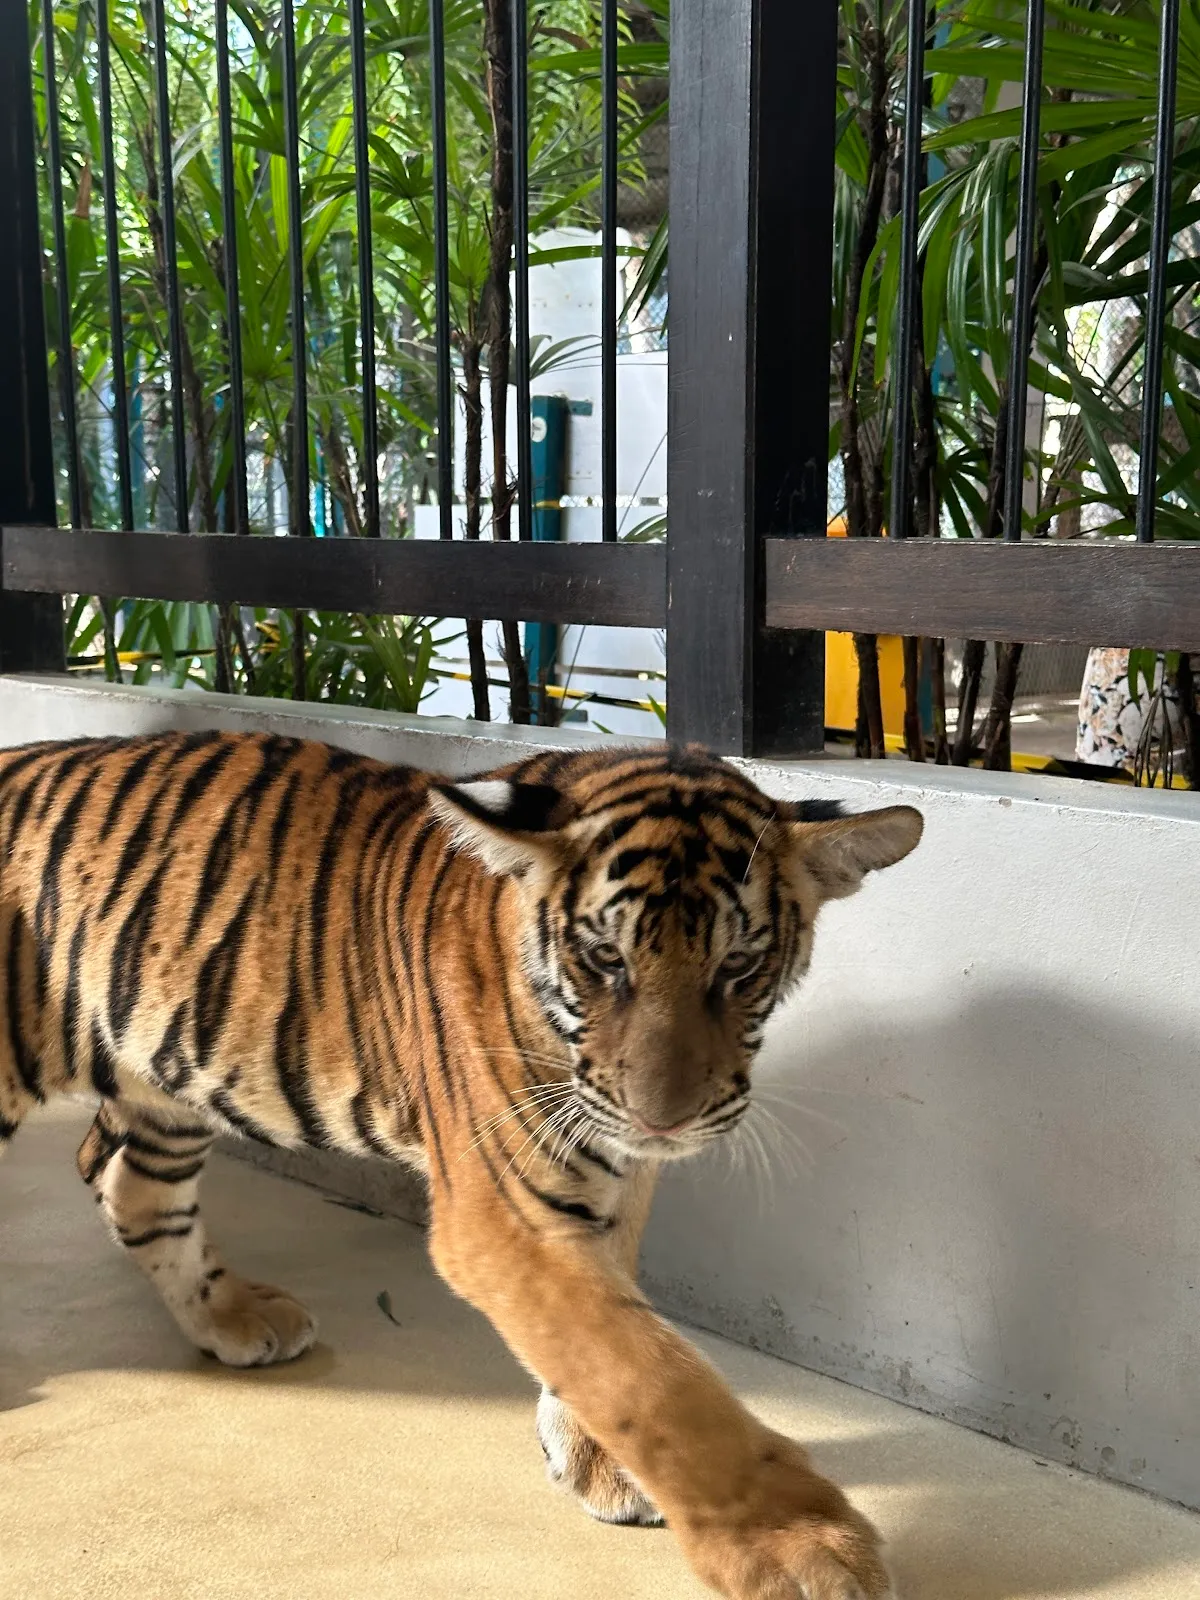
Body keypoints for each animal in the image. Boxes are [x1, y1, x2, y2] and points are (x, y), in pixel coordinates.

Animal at [0, 730, 922, 1600]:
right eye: (606, 960)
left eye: (738, 965)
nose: (665, 1118)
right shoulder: (501, 1216)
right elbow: (648, 1377)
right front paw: (799, 1549)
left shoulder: (610, 1168)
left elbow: (612, 1321)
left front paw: (598, 1459)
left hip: (166, 1079)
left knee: (132, 1188)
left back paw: (232, 1316)